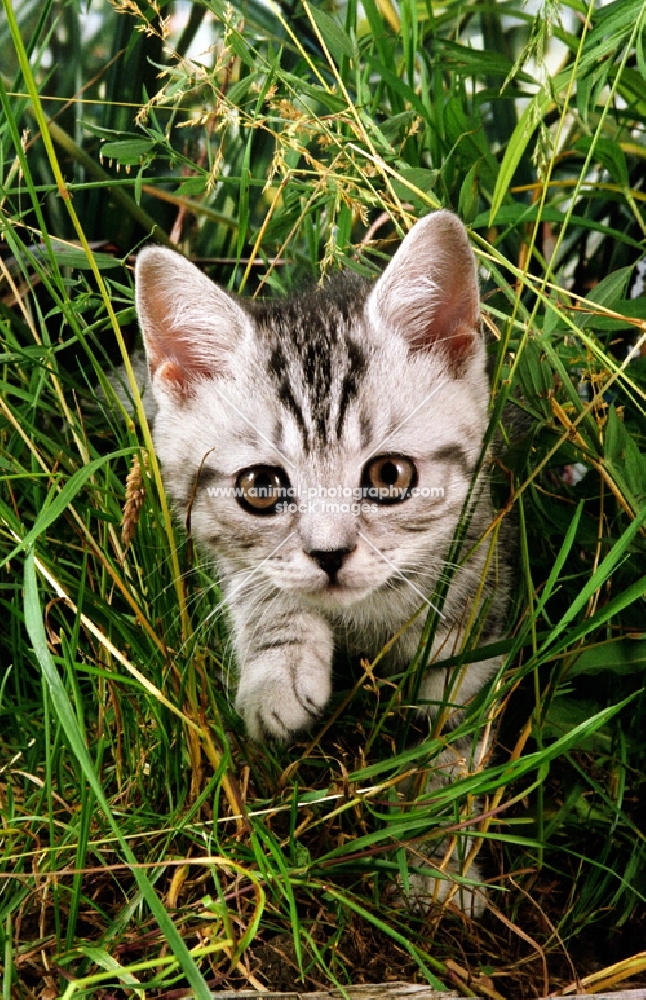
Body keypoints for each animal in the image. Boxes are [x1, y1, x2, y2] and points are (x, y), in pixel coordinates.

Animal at [138, 213, 512, 916]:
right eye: (260, 487)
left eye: (389, 475)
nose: (330, 554)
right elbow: (257, 581)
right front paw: (278, 672)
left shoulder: (478, 584)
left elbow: (453, 744)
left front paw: (440, 862)